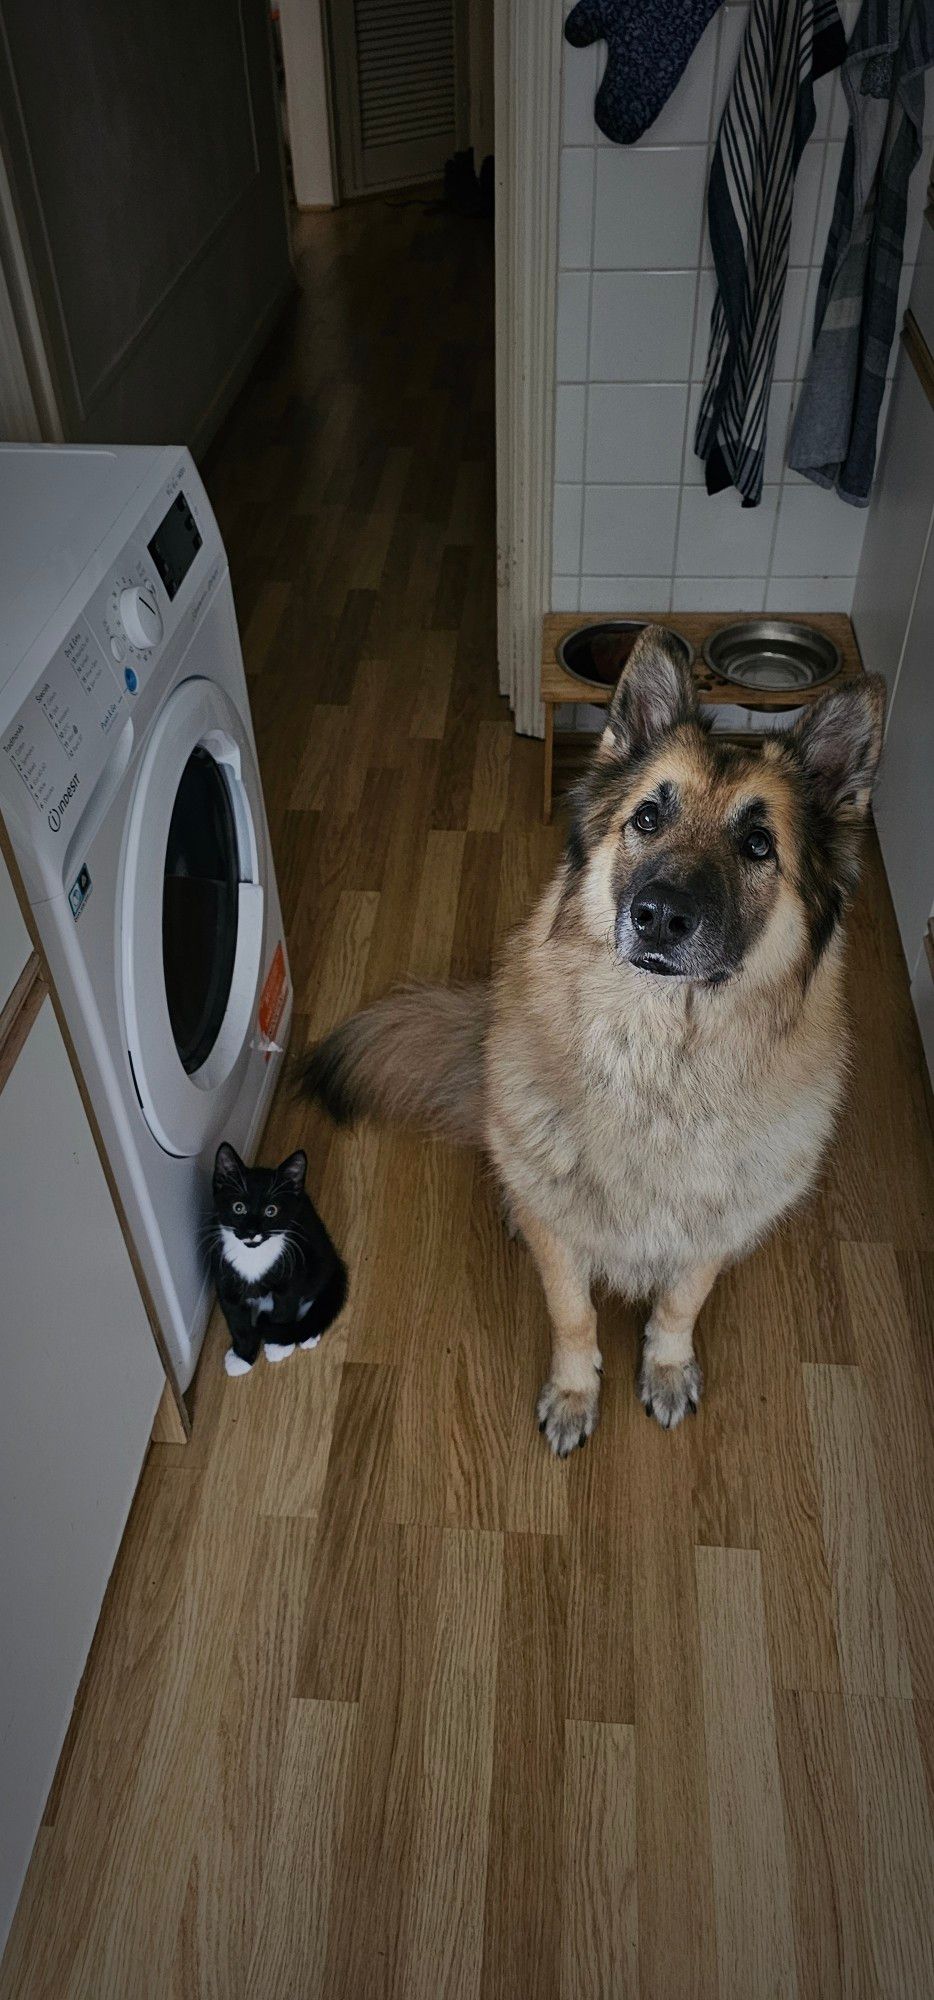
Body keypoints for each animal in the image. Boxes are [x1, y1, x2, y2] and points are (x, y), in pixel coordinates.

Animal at [210, 1144, 350, 1376]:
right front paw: (242, 1356)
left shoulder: (293, 1271)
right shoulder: (224, 1278)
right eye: (238, 1207)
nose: (251, 1232)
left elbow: (285, 1306)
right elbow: (237, 1321)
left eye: (271, 1211)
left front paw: (277, 1345)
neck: (253, 1256)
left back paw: (307, 1332)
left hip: (318, 1255)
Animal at [302, 632, 884, 1464]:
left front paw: (665, 1367)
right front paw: (576, 1393)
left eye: (757, 844)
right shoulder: (562, 1241)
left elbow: (680, 1305)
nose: (660, 915)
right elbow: (572, 1314)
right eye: (647, 818)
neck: (661, 1074)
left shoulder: (708, 1235)